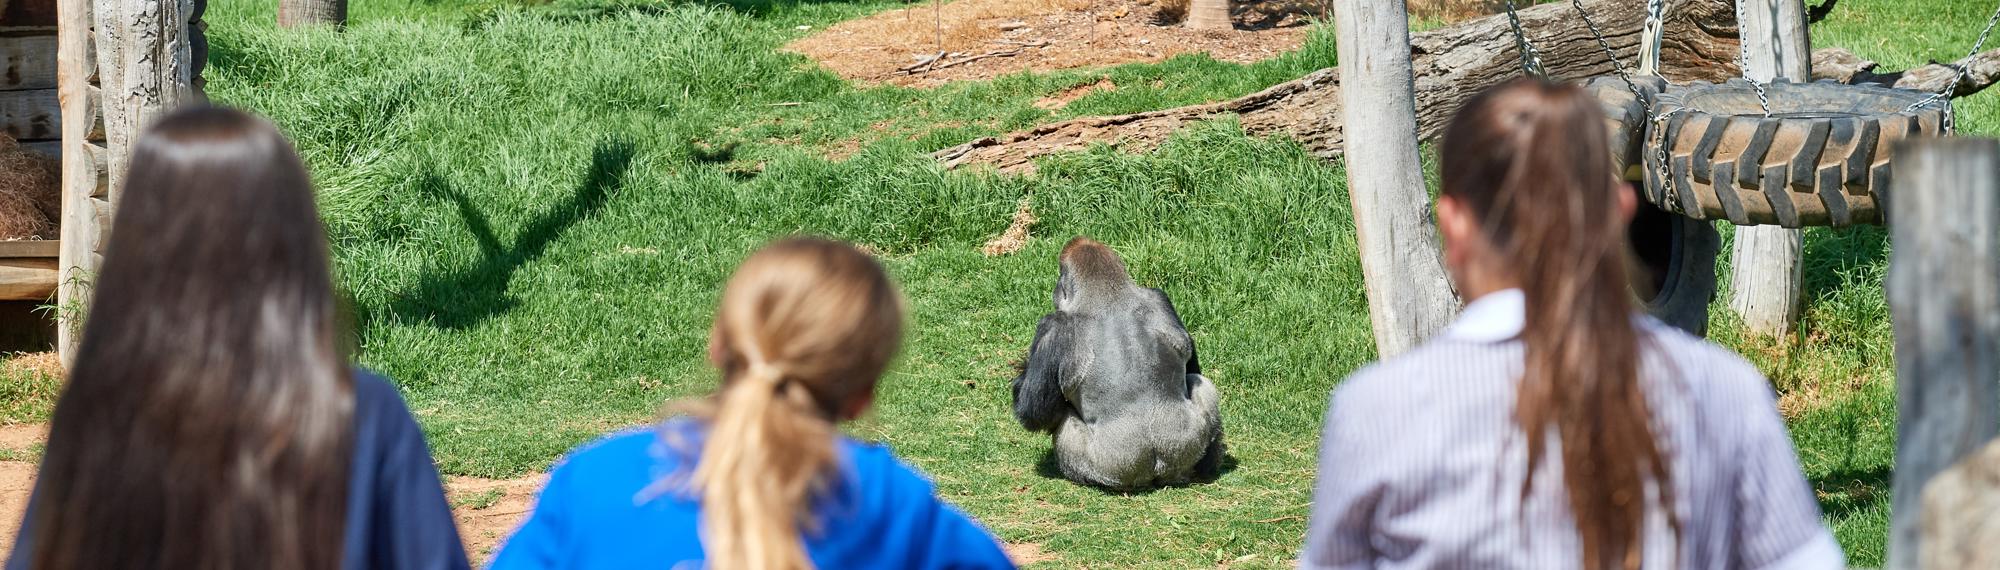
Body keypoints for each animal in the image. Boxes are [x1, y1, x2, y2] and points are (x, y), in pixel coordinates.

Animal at [1012, 237, 1223, 490]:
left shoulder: (1054, 326)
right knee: (1201, 382)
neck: (1109, 296)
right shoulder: (1160, 297)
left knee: (1065, 424)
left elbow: (1034, 412)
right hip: (1184, 446)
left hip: (1108, 469)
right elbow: (1192, 366)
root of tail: (1155, 469)